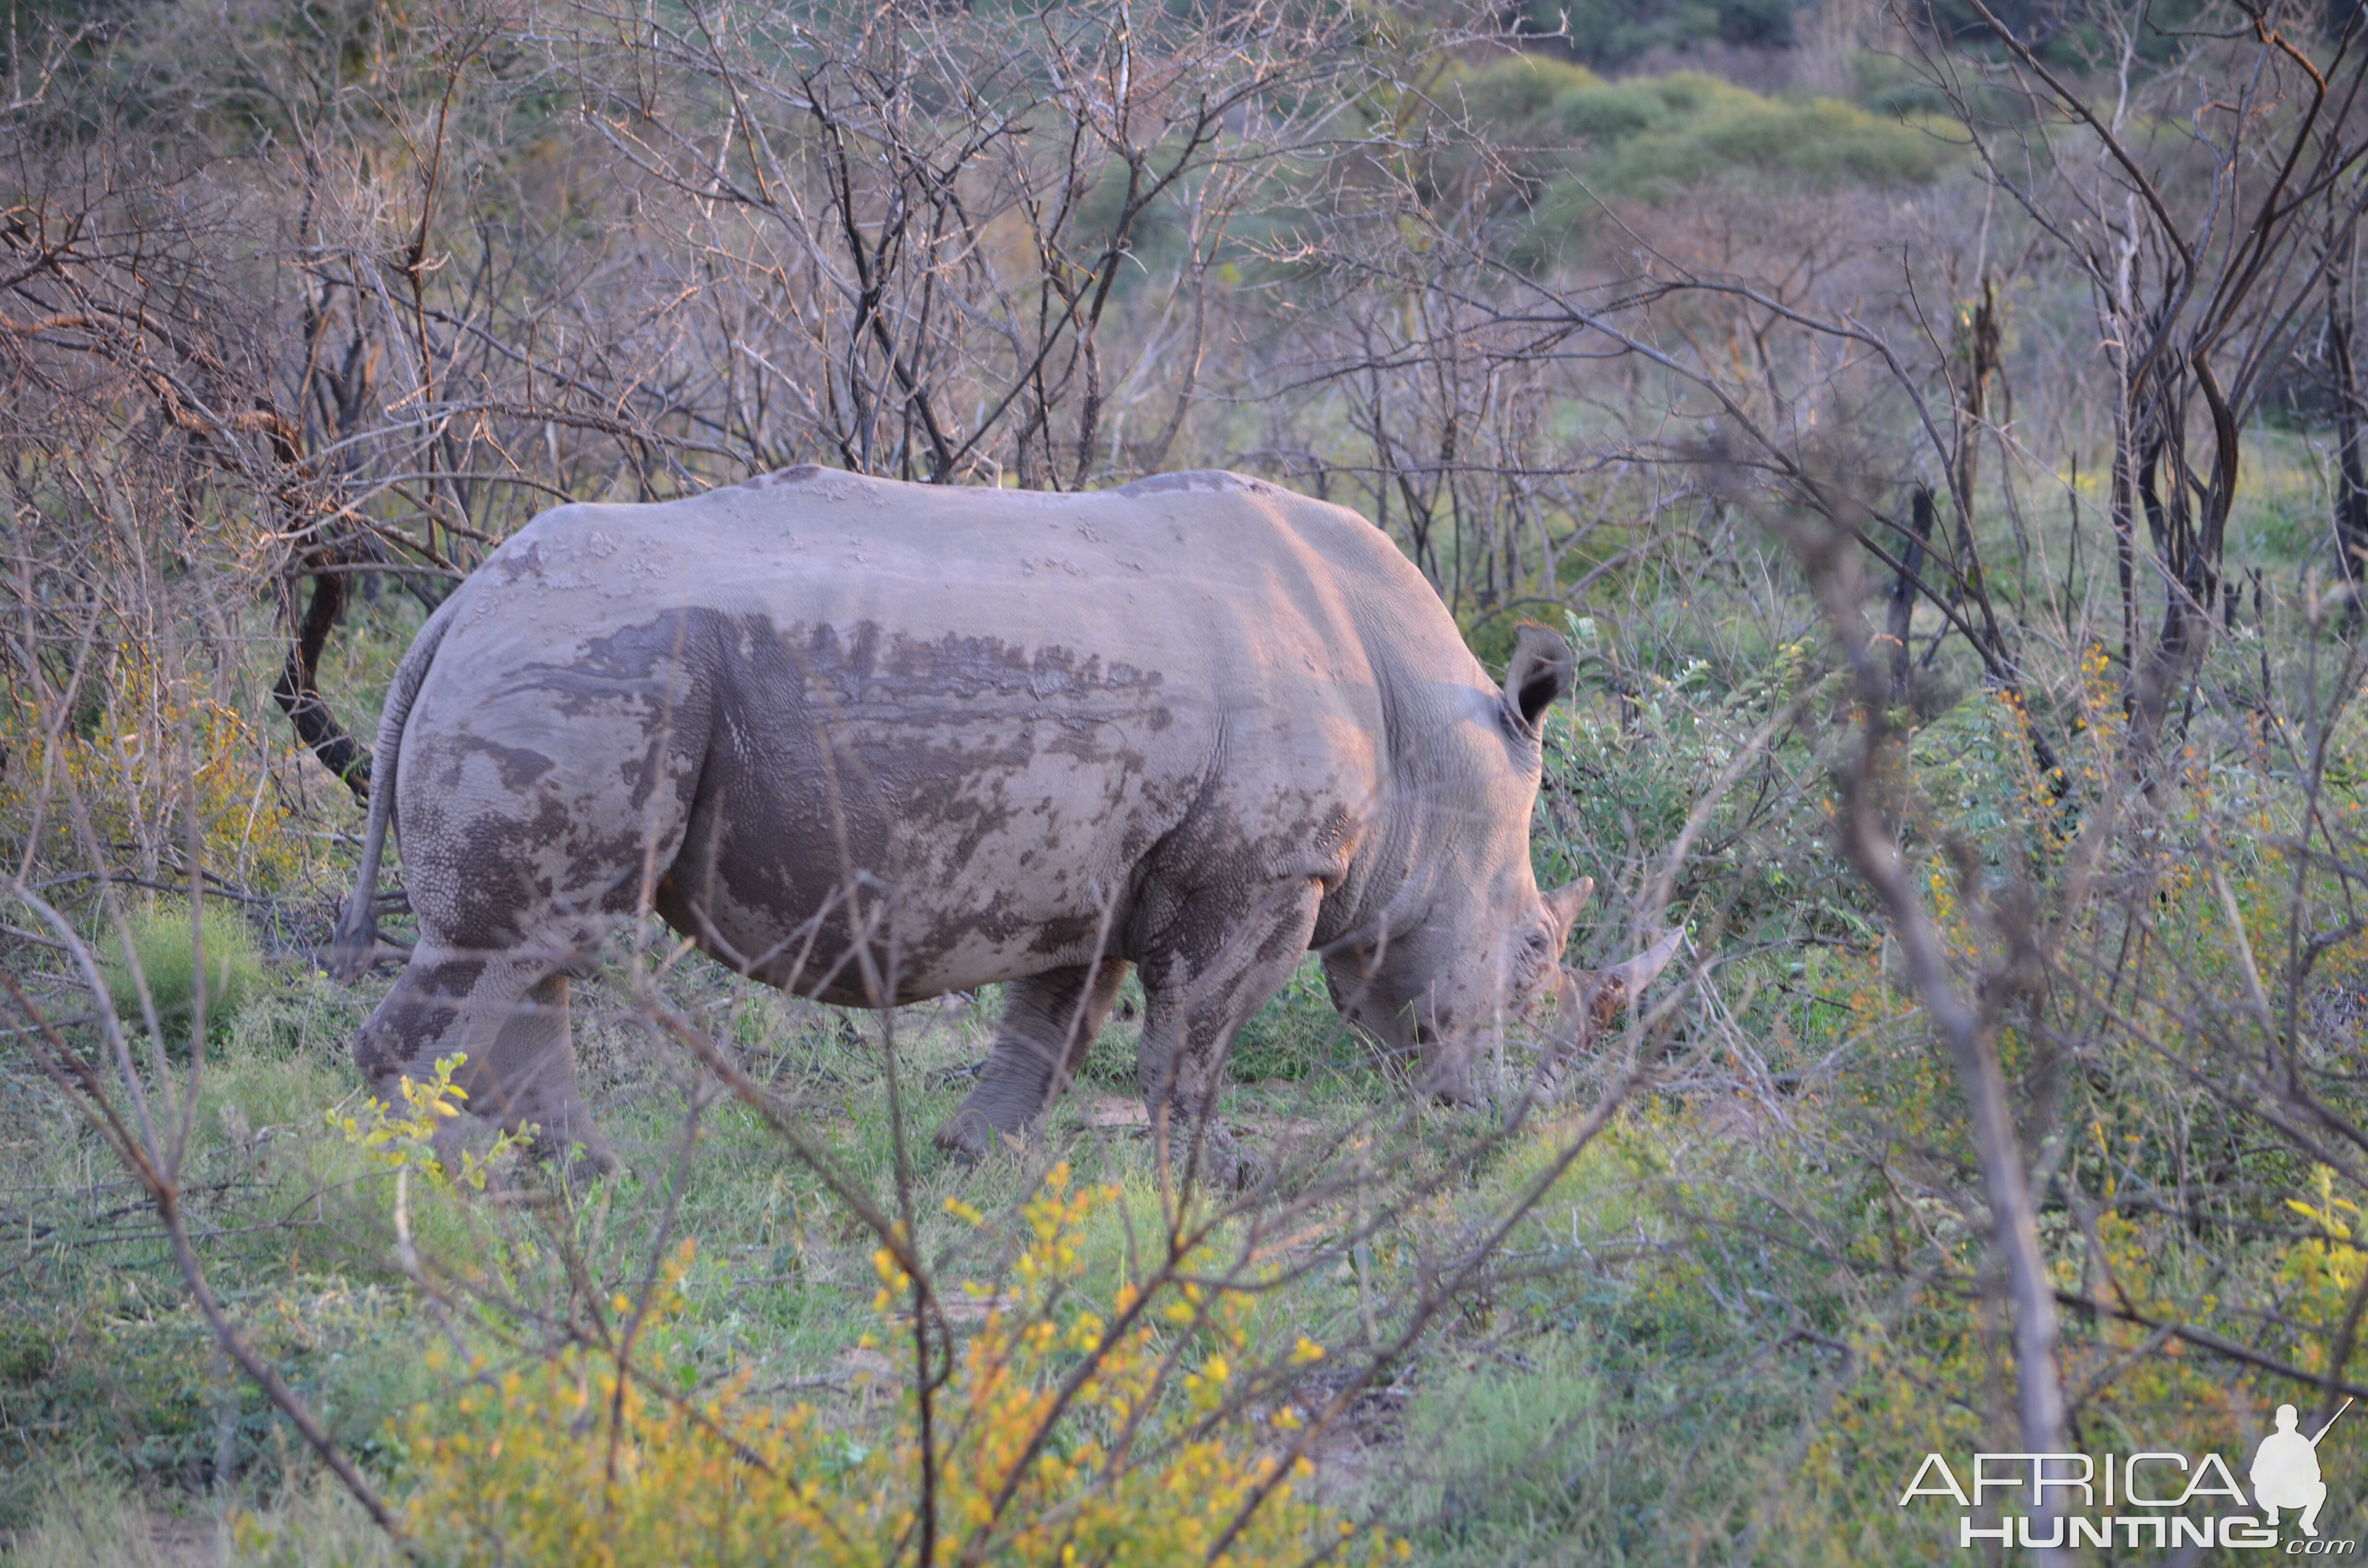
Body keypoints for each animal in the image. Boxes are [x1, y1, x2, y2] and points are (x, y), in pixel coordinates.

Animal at [333, 466, 1677, 1179]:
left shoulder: (1099, 866)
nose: (1509, 1116)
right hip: (588, 666)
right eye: (1536, 955)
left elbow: (1055, 1023)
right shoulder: (1262, 873)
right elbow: (1196, 1033)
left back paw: (581, 1171)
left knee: (540, 951)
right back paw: (439, 1183)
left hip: (580, 659)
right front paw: (1220, 1177)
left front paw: (972, 1155)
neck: (1428, 752)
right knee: (513, 944)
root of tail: (457, 605)